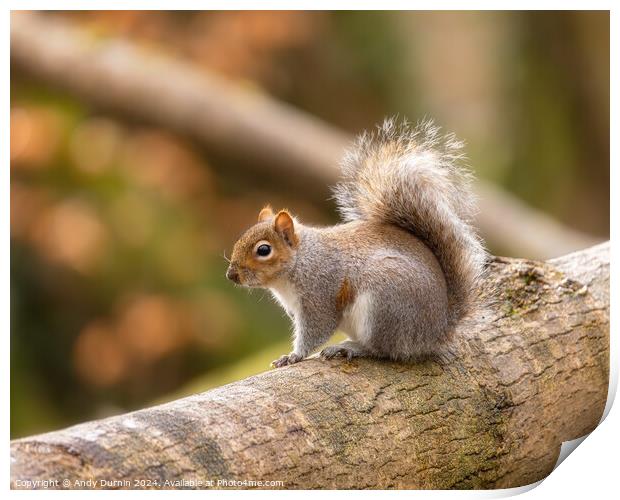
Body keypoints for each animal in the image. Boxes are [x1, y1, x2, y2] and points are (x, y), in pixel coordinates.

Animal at [225, 117, 486, 368]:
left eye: (264, 250)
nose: (231, 275)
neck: (299, 263)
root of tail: (437, 330)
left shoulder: (320, 293)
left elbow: (317, 329)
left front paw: (293, 356)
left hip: (384, 304)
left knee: (384, 349)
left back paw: (351, 347)